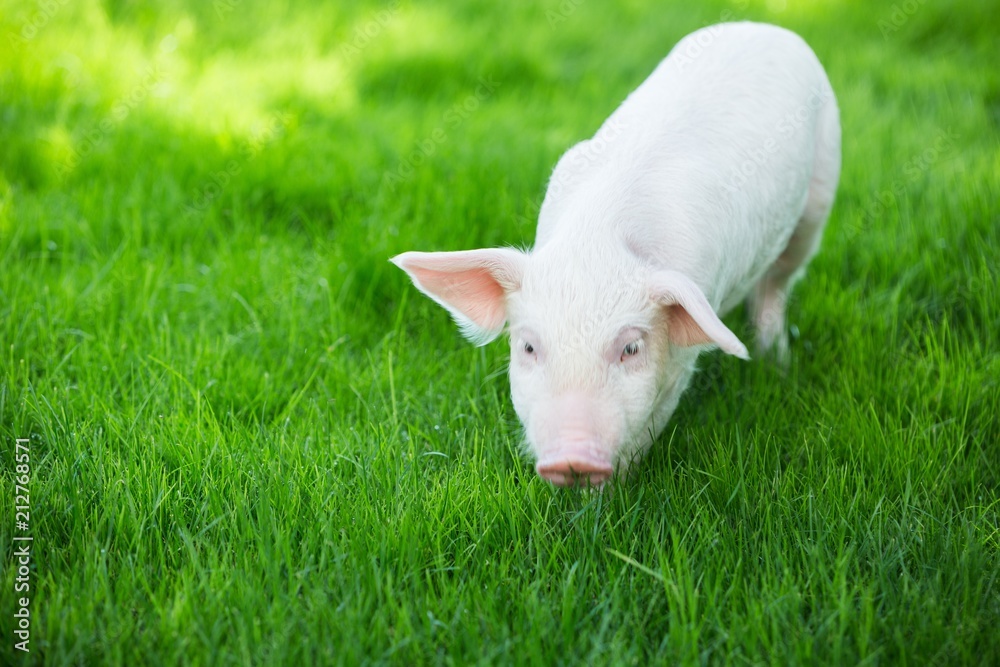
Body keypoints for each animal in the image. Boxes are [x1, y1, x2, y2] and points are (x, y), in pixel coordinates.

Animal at [388, 23, 836, 488]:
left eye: (631, 349)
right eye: (528, 347)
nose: (572, 459)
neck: (595, 244)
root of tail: (763, 26)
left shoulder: (686, 339)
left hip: (820, 190)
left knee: (777, 283)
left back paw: (776, 361)